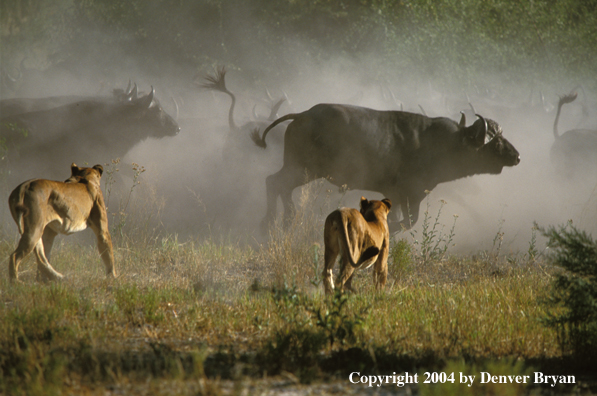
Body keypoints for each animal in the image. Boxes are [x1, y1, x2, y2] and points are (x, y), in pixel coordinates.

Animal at [249, 103, 520, 232]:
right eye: (496, 142)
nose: (517, 156)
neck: (443, 145)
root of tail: (302, 115)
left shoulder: (398, 196)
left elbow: (401, 219)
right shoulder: (412, 194)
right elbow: (407, 222)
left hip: (299, 169)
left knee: (276, 184)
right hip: (303, 169)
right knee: (275, 183)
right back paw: (275, 222)